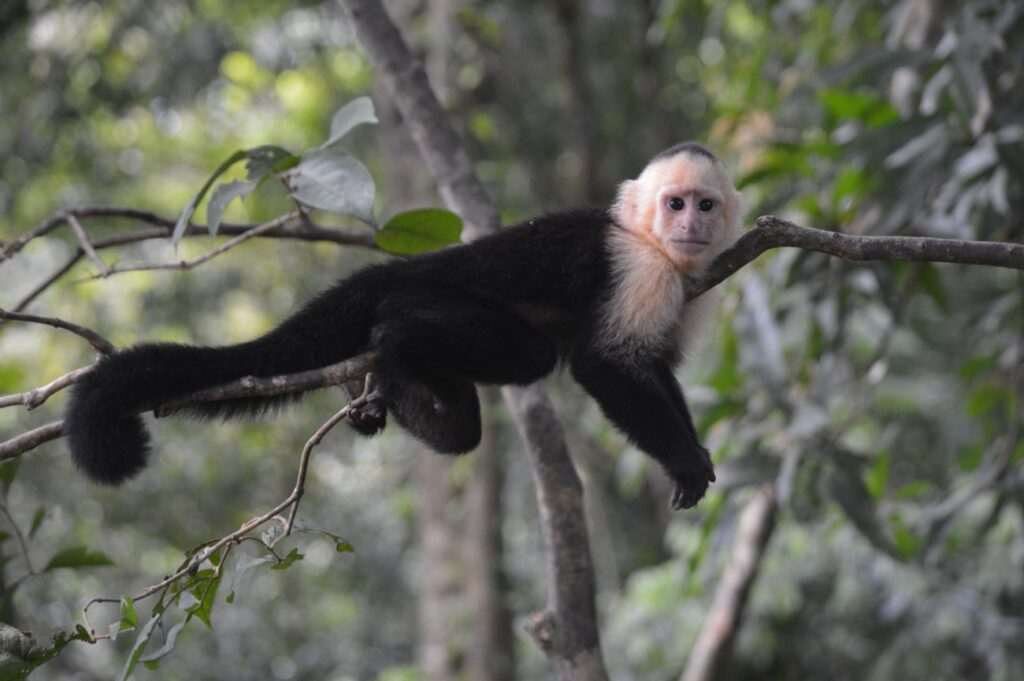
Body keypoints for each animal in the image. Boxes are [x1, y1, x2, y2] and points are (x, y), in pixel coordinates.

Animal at [64, 142, 745, 509]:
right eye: (674, 204)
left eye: (706, 205)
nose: (692, 225)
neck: (653, 244)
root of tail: (399, 269)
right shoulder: (641, 269)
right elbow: (603, 365)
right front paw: (681, 460)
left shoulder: (689, 284)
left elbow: (655, 365)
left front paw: (697, 448)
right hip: (429, 294)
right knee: (518, 353)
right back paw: (394, 356)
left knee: (470, 418)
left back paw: (390, 395)